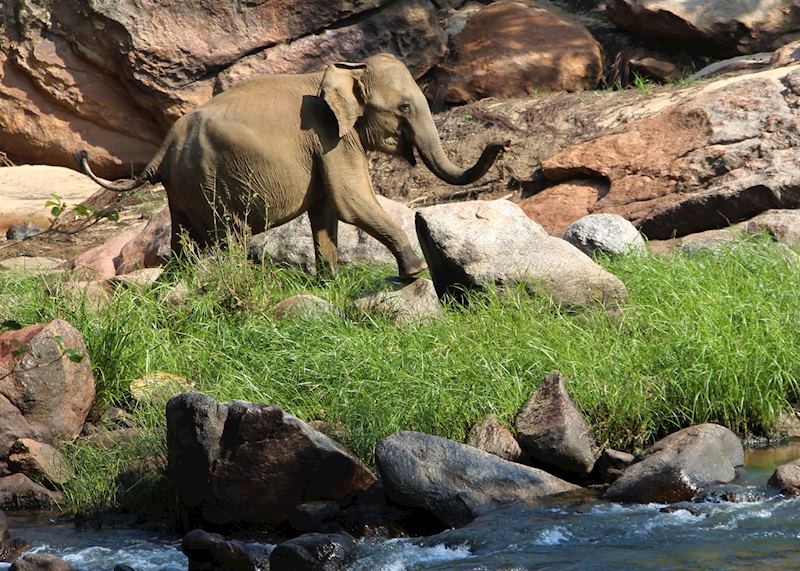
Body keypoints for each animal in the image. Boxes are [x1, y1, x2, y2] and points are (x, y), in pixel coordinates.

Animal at [78, 53, 507, 278]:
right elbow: (351, 201)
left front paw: (331, 281)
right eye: (404, 107)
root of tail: (163, 148)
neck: (344, 71)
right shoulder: (330, 137)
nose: (501, 143)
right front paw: (414, 272)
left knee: (184, 243)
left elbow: (327, 209)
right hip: (209, 181)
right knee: (230, 236)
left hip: (183, 189)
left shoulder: (324, 145)